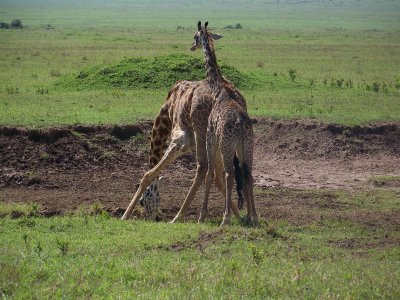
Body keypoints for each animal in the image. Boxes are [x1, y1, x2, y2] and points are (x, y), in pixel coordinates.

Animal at [120, 76, 247, 221]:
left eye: (142, 202)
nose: (151, 219)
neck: (167, 111)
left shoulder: (181, 138)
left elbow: (148, 174)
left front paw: (124, 216)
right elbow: (218, 179)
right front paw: (239, 216)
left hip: (203, 131)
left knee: (202, 167)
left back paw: (177, 217)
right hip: (223, 136)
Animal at [191, 21, 260, 226]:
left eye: (195, 36)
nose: (191, 46)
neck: (219, 87)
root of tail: (241, 126)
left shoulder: (211, 136)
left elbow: (209, 173)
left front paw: (202, 214)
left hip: (227, 145)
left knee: (229, 174)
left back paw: (226, 217)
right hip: (247, 147)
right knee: (248, 174)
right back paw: (253, 216)